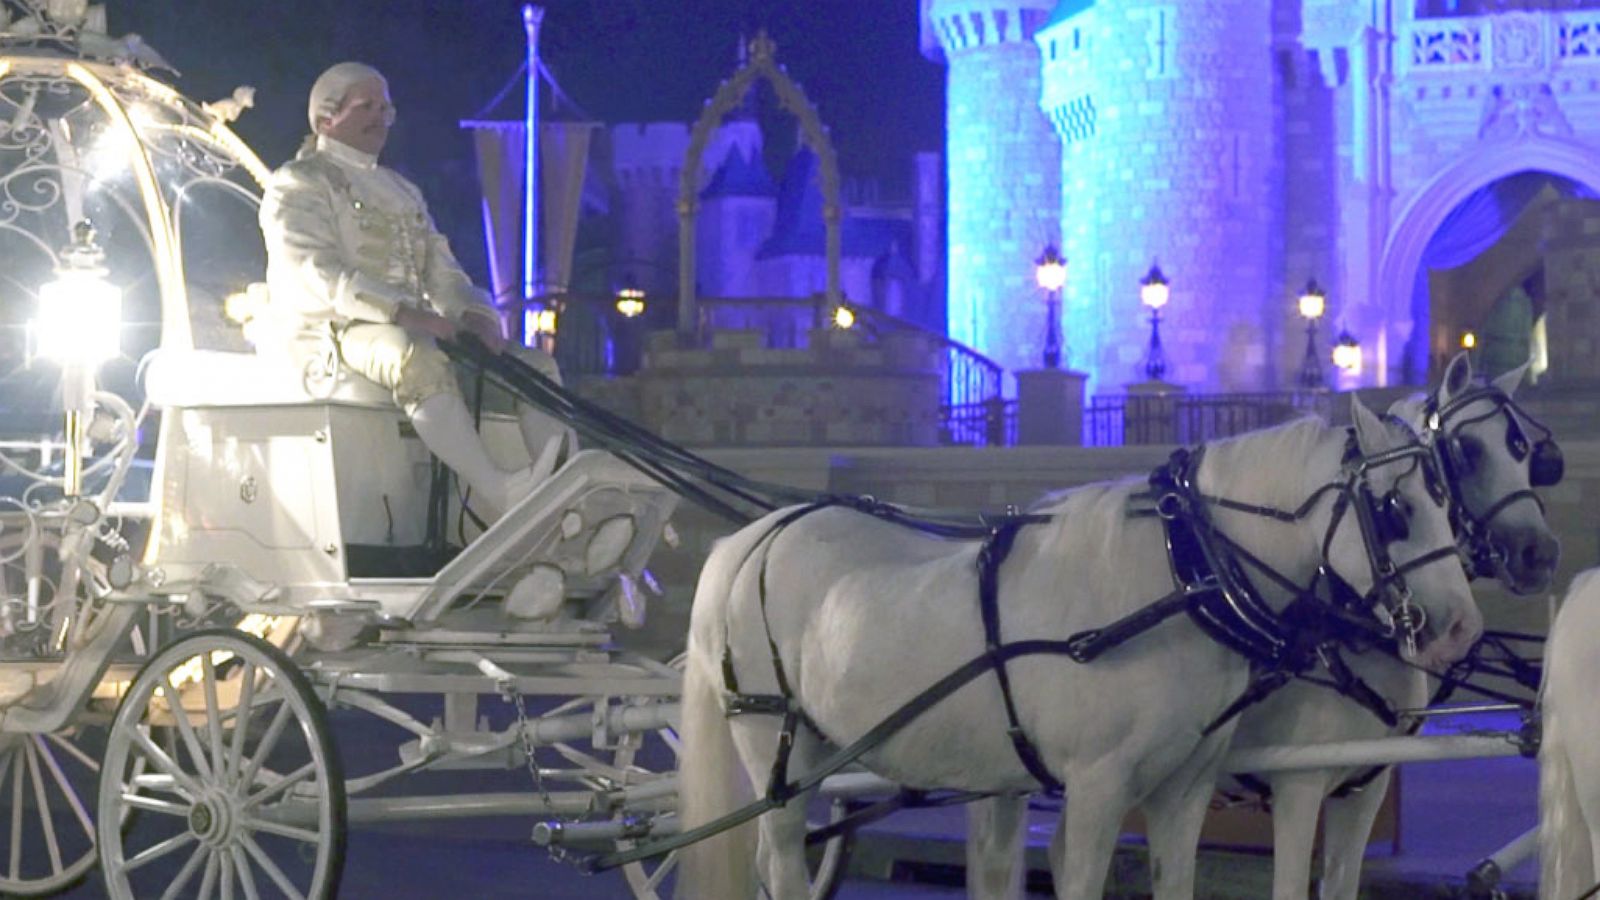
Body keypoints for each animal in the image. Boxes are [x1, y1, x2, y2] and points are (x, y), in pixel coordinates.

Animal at [678, 395, 1484, 890]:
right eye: (1396, 507)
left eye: (1447, 498)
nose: (1462, 630)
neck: (1179, 577)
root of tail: (750, 539)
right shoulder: (1098, 789)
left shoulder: (1182, 790)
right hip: (778, 750)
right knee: (782, 860)